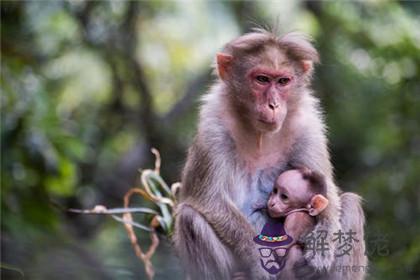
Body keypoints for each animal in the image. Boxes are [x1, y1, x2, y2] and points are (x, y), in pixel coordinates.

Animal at [172, 29, 366, 278]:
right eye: (262, 79)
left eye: (283, 81)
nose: (273, 105)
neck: (259, 134)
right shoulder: (213, 126)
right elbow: (209, 198)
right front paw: (257, 260)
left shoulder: (307, 125)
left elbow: (327, 192)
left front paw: (320, 246)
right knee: (190, 217)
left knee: (350, 203)